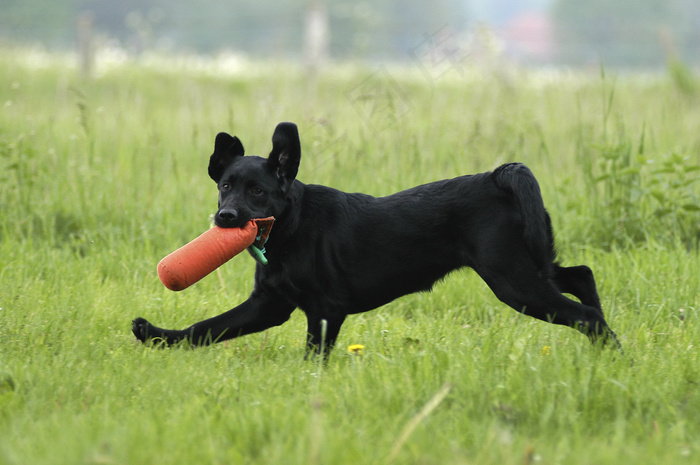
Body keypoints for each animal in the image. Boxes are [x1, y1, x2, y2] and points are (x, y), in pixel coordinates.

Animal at [134, 122, 620, 356]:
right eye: (225, 186)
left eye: (257, 191)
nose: (225, 218)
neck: (292, 229)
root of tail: (499, 177)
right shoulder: (269, 305)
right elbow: (206, 328)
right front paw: (155, 335)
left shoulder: (325, 310)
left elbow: (313, 356)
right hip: (530, 264)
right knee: (582, 276)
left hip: (513, 278)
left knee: (584, 313)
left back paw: (615, 355)